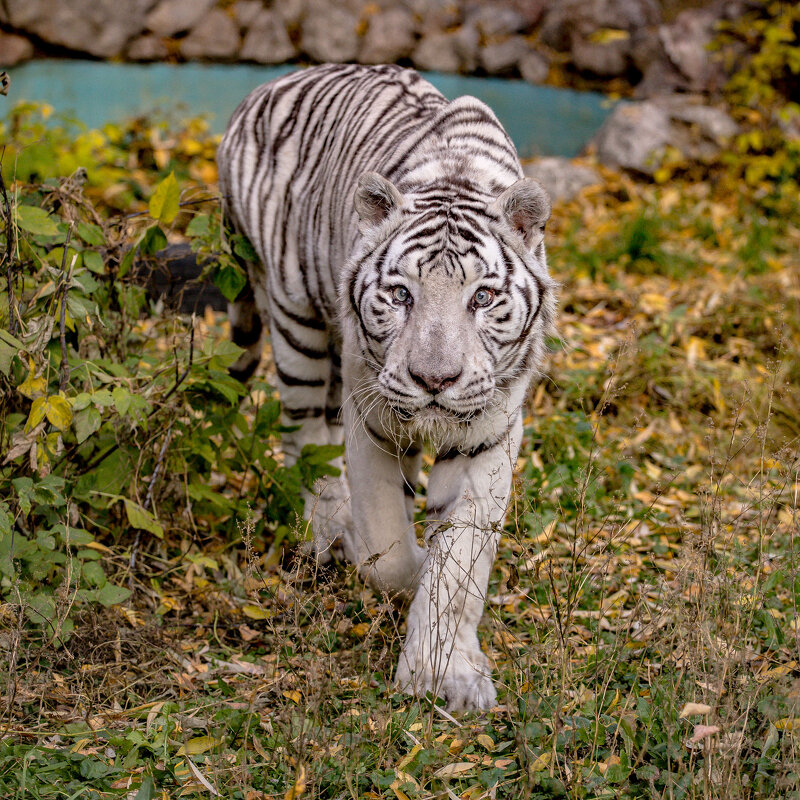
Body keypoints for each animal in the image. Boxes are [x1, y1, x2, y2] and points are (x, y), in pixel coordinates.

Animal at [219, 65, 556, 708]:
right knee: (305, 438)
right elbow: (389, 549)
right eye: (401, 295)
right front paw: (403, 566)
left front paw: (446, 672)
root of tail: (261, 89)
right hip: (294, 321)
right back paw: (331, 531)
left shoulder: (489, 434)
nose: (435, 380)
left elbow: (459, 566)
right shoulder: (371, 417)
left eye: (483, 297)